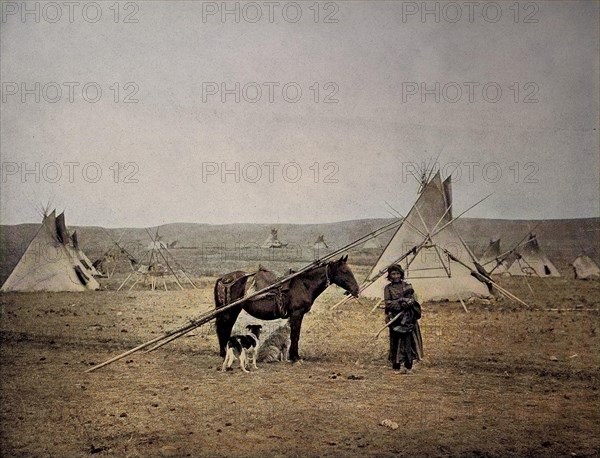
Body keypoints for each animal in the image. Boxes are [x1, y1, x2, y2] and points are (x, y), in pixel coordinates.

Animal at [213, 256, 358, 360]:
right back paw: (224, 352)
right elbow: (295, 335)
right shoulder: (296, 313)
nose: (356, 289)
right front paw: (294, 357)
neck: (303, 284)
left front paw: (294, 355)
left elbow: (296, 334)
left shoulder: (298, 314)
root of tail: (223, 279)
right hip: (231, 310)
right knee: (224, 329)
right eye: (344, 271)